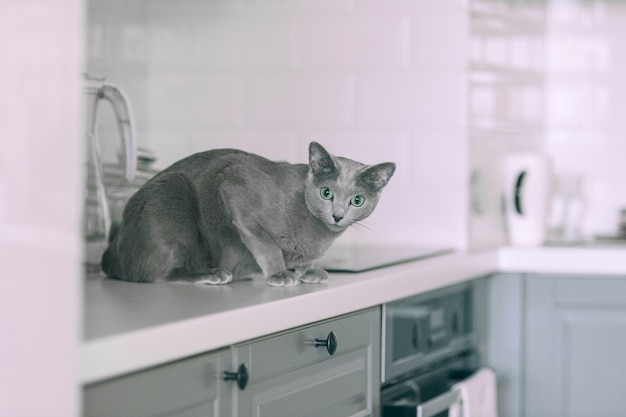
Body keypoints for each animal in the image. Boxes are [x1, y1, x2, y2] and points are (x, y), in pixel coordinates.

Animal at [102, 141, 394, 284]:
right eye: (326, 193)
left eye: (357, 200)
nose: (337, 215)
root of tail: (110, 252)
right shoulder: (233, 182)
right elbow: (266, 244)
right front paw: (279, 273)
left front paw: (308, 270)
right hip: (171, 195)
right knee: (160, 274)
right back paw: (212, 273)